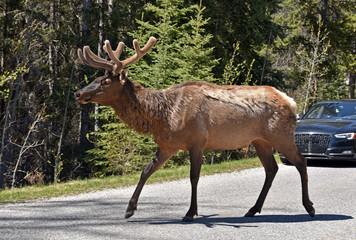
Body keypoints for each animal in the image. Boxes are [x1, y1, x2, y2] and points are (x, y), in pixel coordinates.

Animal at [75, 36, 314, 222]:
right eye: (97, 77)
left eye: (105, 82)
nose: (78, 93)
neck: (162, 116)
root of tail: (291, 102)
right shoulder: (168, 146)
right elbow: (146, 171)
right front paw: (129, 209)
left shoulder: (197, 141)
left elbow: (193, 177)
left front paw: (190, 213)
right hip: (260, 140)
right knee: (271, 168)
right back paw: (253, 209)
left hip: (281, 134)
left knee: (300, 161)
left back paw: (309, 207)